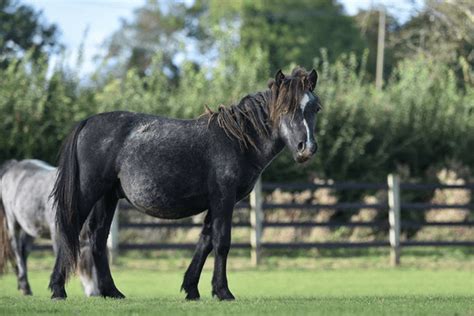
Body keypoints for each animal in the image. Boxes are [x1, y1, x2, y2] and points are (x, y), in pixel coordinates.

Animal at [0, 160, 100, 296]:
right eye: (83, 267)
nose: (94, 294)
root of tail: (13, 166)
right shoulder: (57, 234)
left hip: (30, 229)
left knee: (24, 251)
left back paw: (24, 286)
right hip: (12, 222)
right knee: (17, 250)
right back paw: (25, 286)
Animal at [49, 68, 322, 300]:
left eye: (315, 108)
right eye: (285, 109)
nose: (306, 148)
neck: (237, 141)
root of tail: (88, 122)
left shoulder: (217, 203)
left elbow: (205, 241)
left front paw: (192, 288)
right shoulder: (224, 199)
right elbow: (221, 242)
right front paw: (223, 291)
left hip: (107, 196)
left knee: (97, 236)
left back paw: (111, 291)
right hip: (88, 192)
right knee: (71, 230)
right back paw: (58, 288)